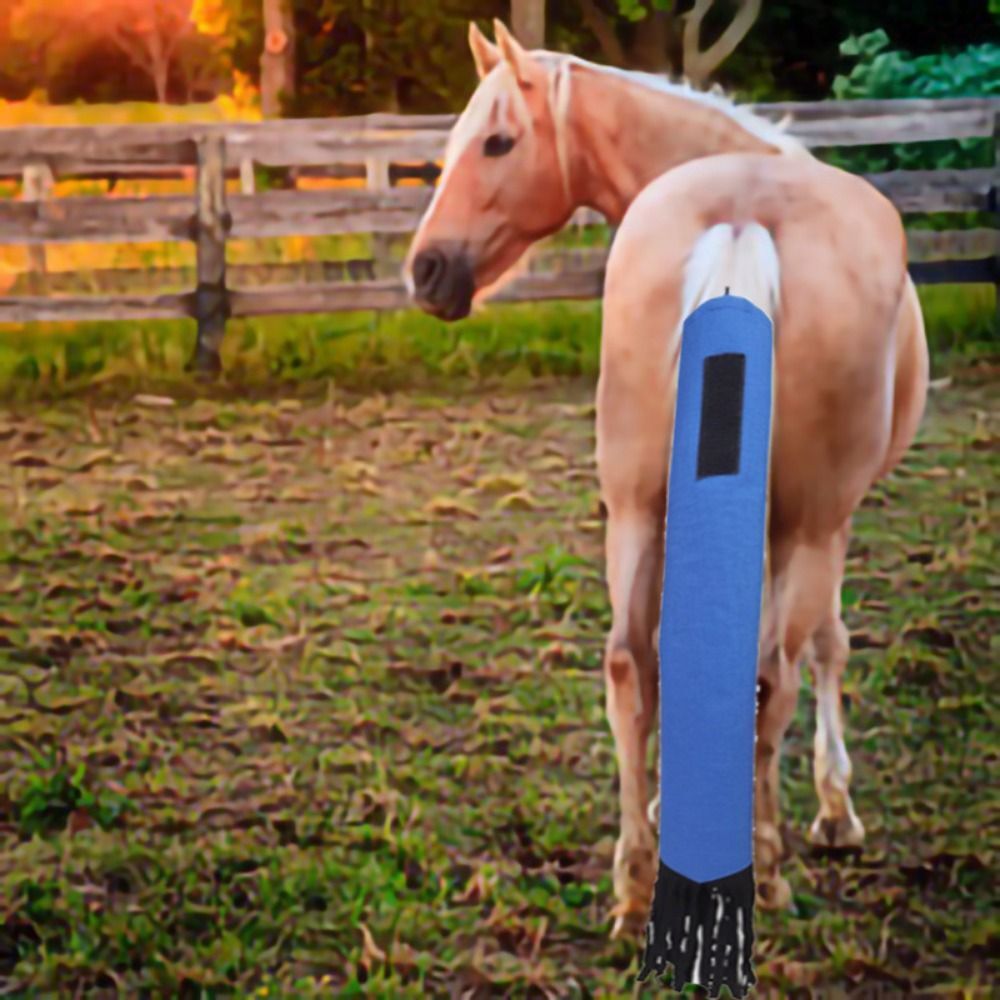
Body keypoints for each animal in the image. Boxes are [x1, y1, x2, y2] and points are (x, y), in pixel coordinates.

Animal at [404, 21, 929, 941]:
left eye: (497, 141)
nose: (425, 271)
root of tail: (743, 218)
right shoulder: (829, 520)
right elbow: (827, 644)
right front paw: (836, 810)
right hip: (806, 523)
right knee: (771, 673)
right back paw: (768, 870)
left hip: (639, 509)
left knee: (628, 664)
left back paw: (634, 878)